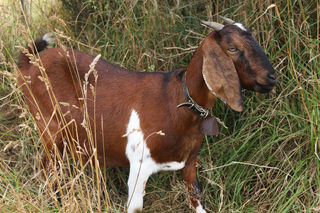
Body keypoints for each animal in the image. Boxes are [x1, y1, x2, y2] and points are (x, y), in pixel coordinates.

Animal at [16, 17, 276, 212]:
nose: (271, 78)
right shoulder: (139, 166)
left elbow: (196, 197)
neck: (178, 103)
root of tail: (29, 63)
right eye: (232, 48)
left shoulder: (190, 161)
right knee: (47, 167)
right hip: (49, 128)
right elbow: (136, 206)